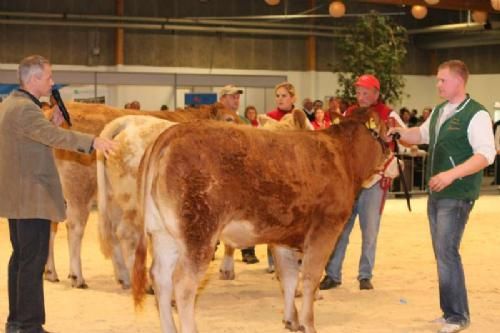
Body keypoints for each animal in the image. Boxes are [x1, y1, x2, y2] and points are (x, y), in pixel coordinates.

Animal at [132, 109, 386, 332]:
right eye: (383, 130)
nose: (391, 152)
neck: (342, 156)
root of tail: (170, 134)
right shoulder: (326, 228)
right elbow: (310, 277)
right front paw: (308, 323)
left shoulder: (283, 237)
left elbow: (288, 277)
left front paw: (291, 320)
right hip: (199, 234)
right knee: (183, 284)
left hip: (164, 235)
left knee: (161, 278)